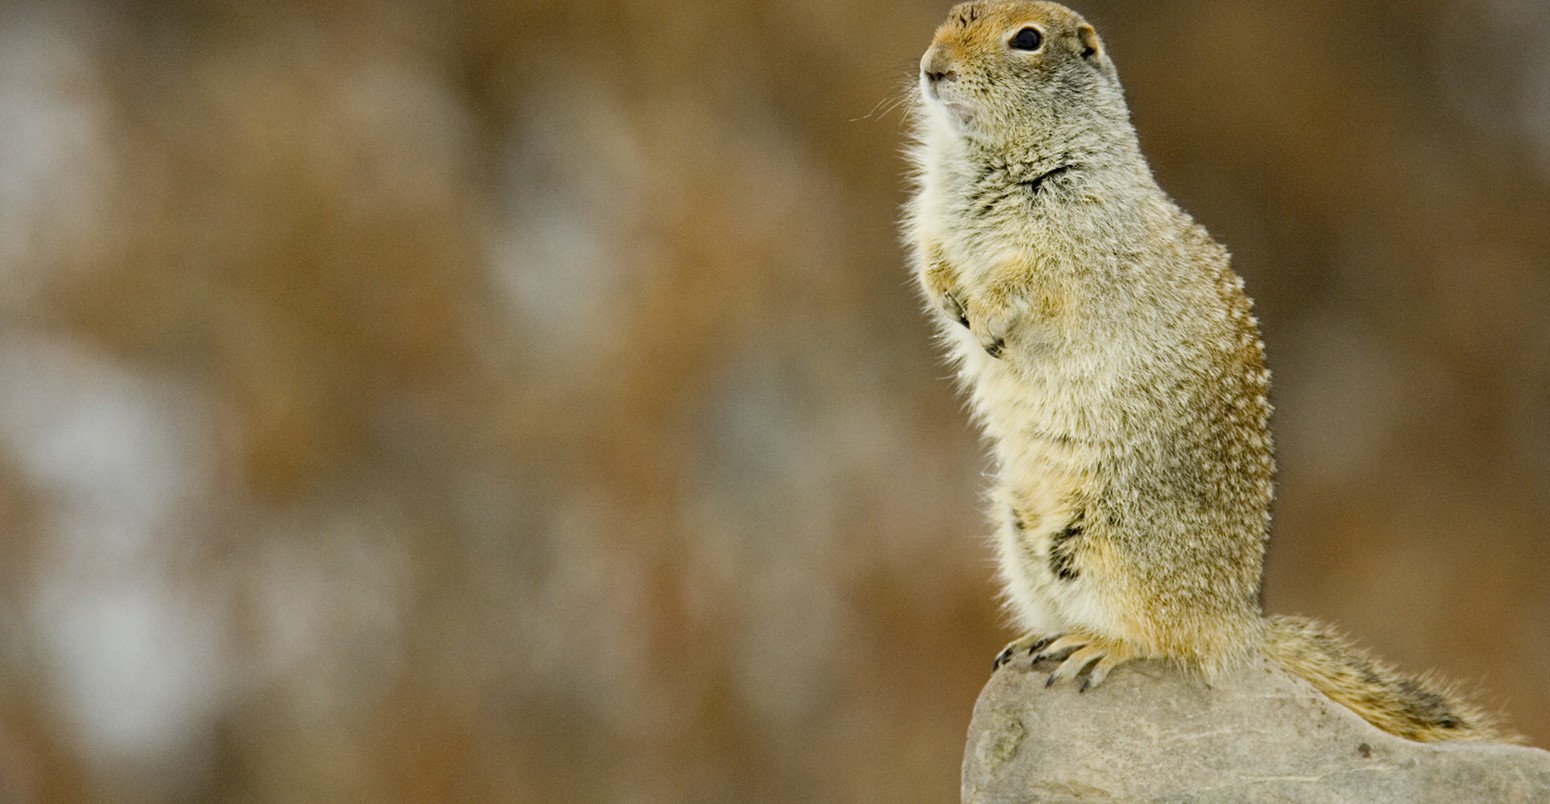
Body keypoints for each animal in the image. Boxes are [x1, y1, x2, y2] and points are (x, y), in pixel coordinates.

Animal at [905, 0, 1506, 746]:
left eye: (1026, 39)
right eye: (948, 19)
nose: (932, 69)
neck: (983, 160)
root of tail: (1240, 622)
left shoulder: (1076, 234)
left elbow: (1032, 282)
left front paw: (986, 320)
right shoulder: (931, 211)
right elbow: (930, 259)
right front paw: (953, 304)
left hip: (1116, 541)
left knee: (1168, 640)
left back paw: (1095, 644)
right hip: (1020, 533)